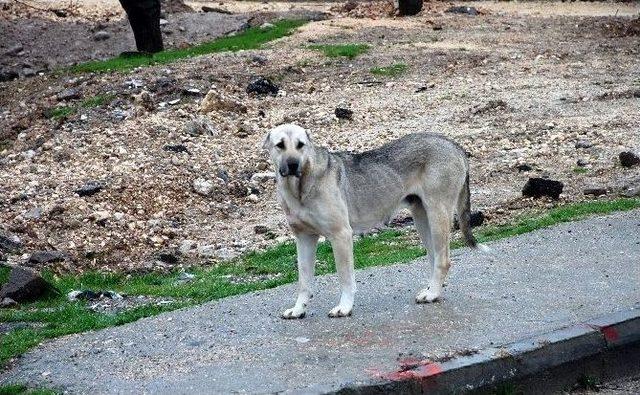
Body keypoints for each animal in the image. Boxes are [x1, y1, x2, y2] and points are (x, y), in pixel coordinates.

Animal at [262, 124, 482, 318]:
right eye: (280, 145)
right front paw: (298, 310)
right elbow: (304, 282)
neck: (299, 188)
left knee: (443, 260)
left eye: (301, 145)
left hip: (438, 214)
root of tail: (454, 144)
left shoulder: (341, 235)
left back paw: (432, 294)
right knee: (434, 259)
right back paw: (431, 292)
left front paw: (345, 307)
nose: (293, 165)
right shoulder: (304, 238)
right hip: (422, 219)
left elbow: (345, 278)